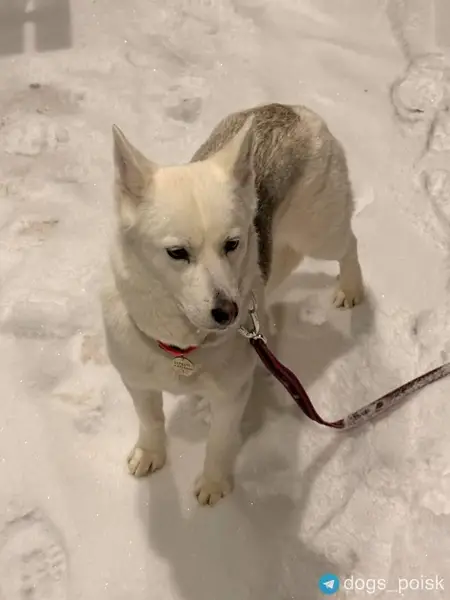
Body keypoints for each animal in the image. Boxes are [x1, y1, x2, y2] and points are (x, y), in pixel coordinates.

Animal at [100, 103, 364, 506]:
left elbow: (220, 443)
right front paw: (151, 453)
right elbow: (150, 421)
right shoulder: (137, 382)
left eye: (232, 244)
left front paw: (214, 483)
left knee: (349, 244)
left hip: (319, 232)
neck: (181, 348)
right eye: (177, 253)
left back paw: (350, 287)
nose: (229, 313)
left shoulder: (231, 396)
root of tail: (289, 109)